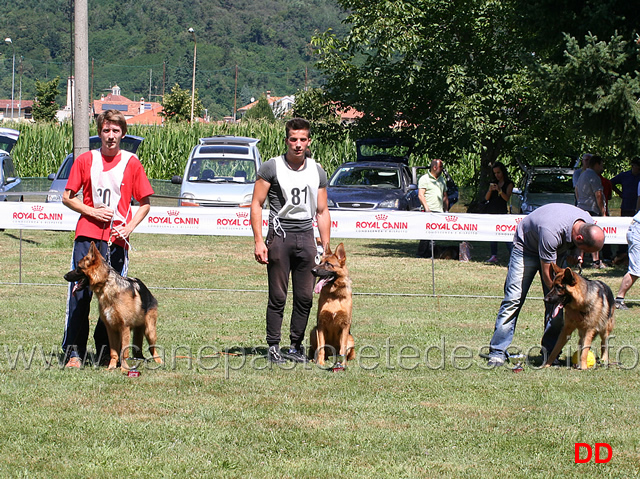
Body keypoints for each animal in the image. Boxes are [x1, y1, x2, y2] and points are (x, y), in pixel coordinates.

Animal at [64, 244, 162, 372]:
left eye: (78, 268)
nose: (64, 276)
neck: (106, 285)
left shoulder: (124, 327)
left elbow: (124, 352)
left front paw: (124, 369)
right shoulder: (111, 329)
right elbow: (114, 352)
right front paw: (111, 367)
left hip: (149, 331)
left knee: (153, 348)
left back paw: (159, 362)